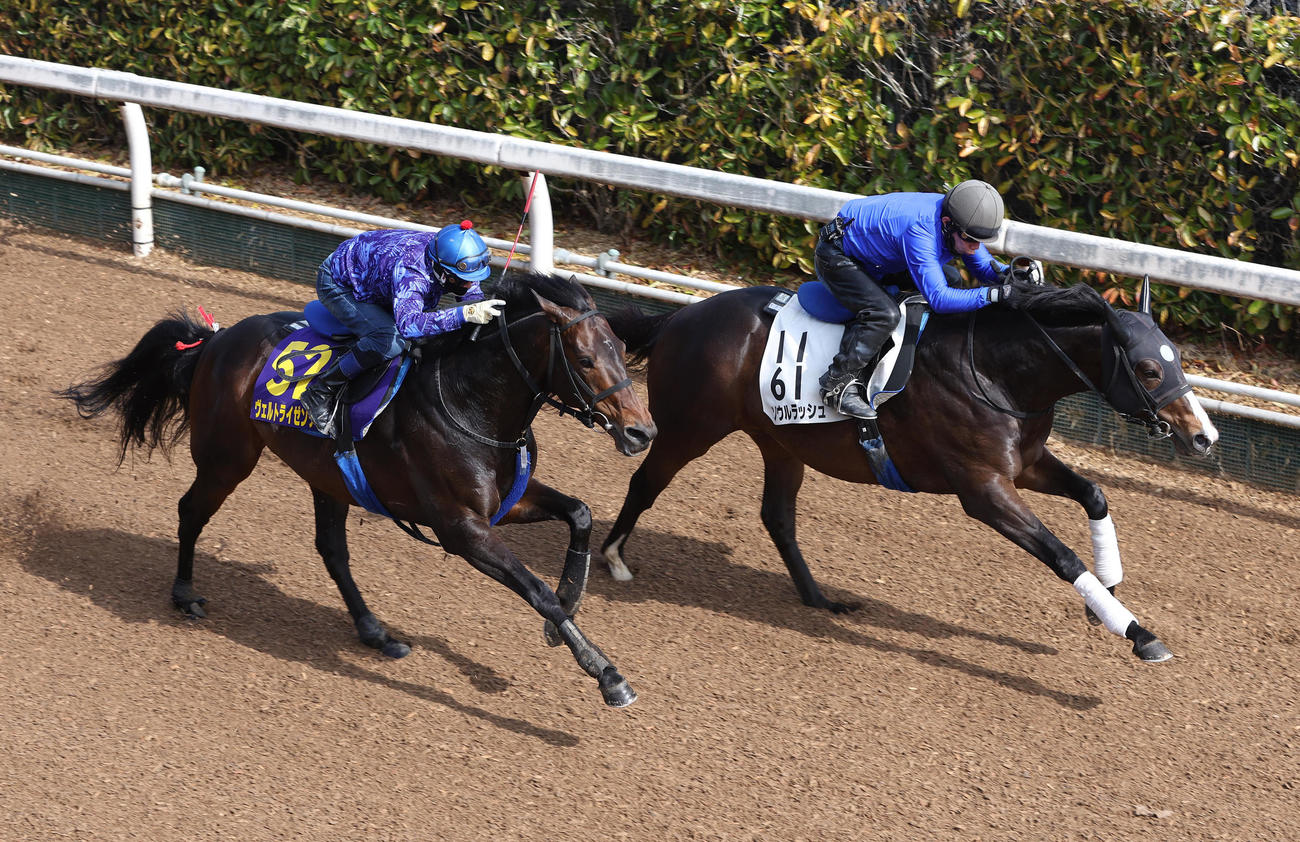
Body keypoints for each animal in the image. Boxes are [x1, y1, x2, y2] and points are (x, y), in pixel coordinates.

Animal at [58, 270, 657, 707]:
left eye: (621, 350)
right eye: (584, 359)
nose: (642, 432)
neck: (468, 400)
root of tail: (214, 340)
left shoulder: (501, 506)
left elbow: (580, 514)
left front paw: (568, 609)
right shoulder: (461, 528)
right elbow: (534, 591)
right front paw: (607, 674)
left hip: (327, 478)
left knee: (331, 550)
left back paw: (375, 631)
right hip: (228, 458)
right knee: (191, 511)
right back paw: (184, 594)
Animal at [601, 277, 1219, 663]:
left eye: (1177, 360)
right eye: (1148, 367)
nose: (1205, 437)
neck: (995, 370)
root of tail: (679, 316)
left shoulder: (1025, 465)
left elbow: (1094, 495)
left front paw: (1108, 592)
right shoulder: (983, 488)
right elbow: (1062, 555)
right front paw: (1137, 631)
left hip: (780, 441)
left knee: (777, 516)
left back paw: (820, 600)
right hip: (690, 429)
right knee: (645, 482)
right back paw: (613, 557)